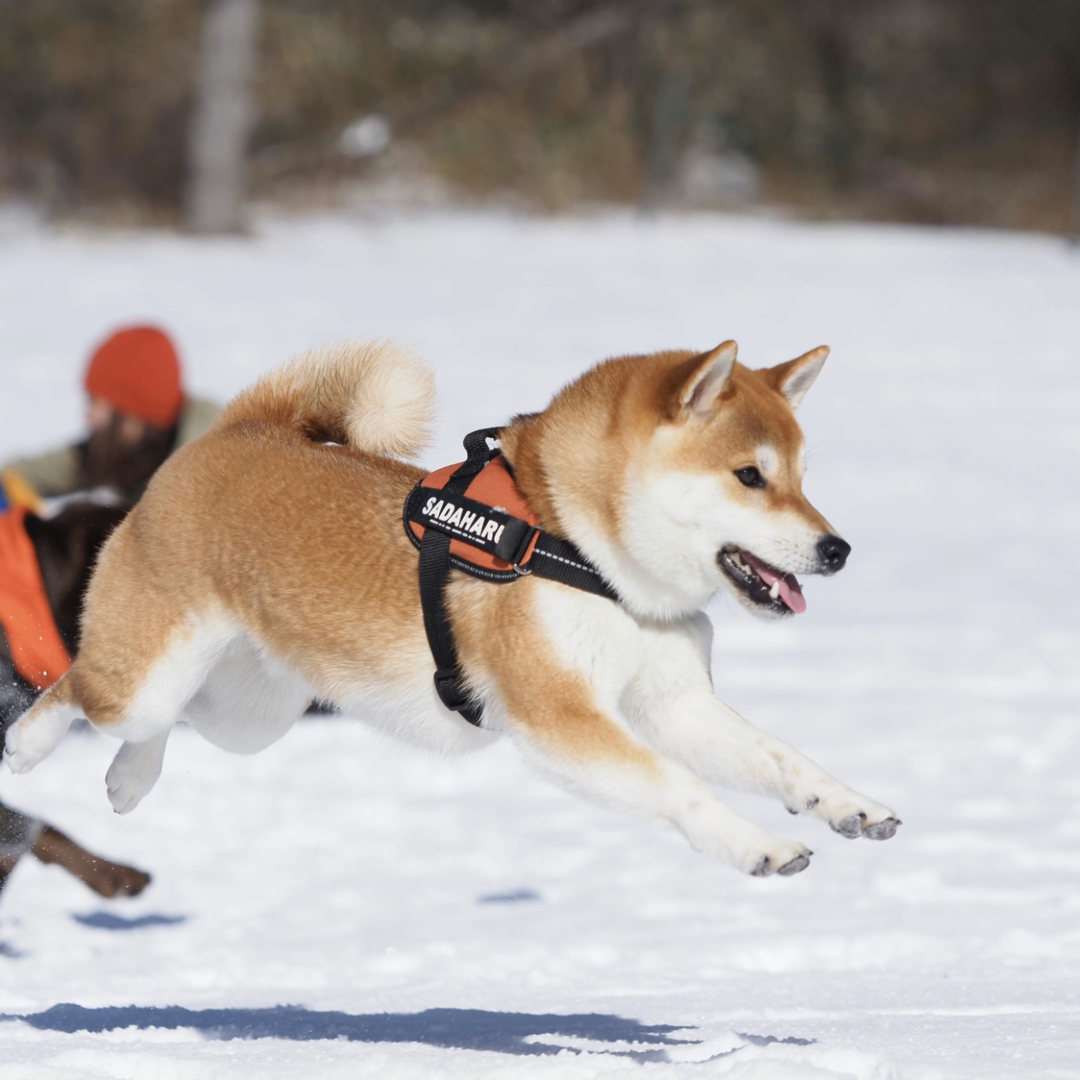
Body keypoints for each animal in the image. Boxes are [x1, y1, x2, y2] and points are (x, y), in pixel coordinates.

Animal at [6, 341, 902, 881]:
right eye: (750, 476)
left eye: (802, 475)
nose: (837, 550)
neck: (586, 551)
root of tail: (235, 432)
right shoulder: (560, 717)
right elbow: (680, 787)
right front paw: (758, 843)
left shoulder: (675, 704)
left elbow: (782, 760)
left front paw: (848, 805)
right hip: (152, 675)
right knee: (79, 688)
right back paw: (26, 743)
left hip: (251, 711)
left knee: (165, 723)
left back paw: (129, 779)